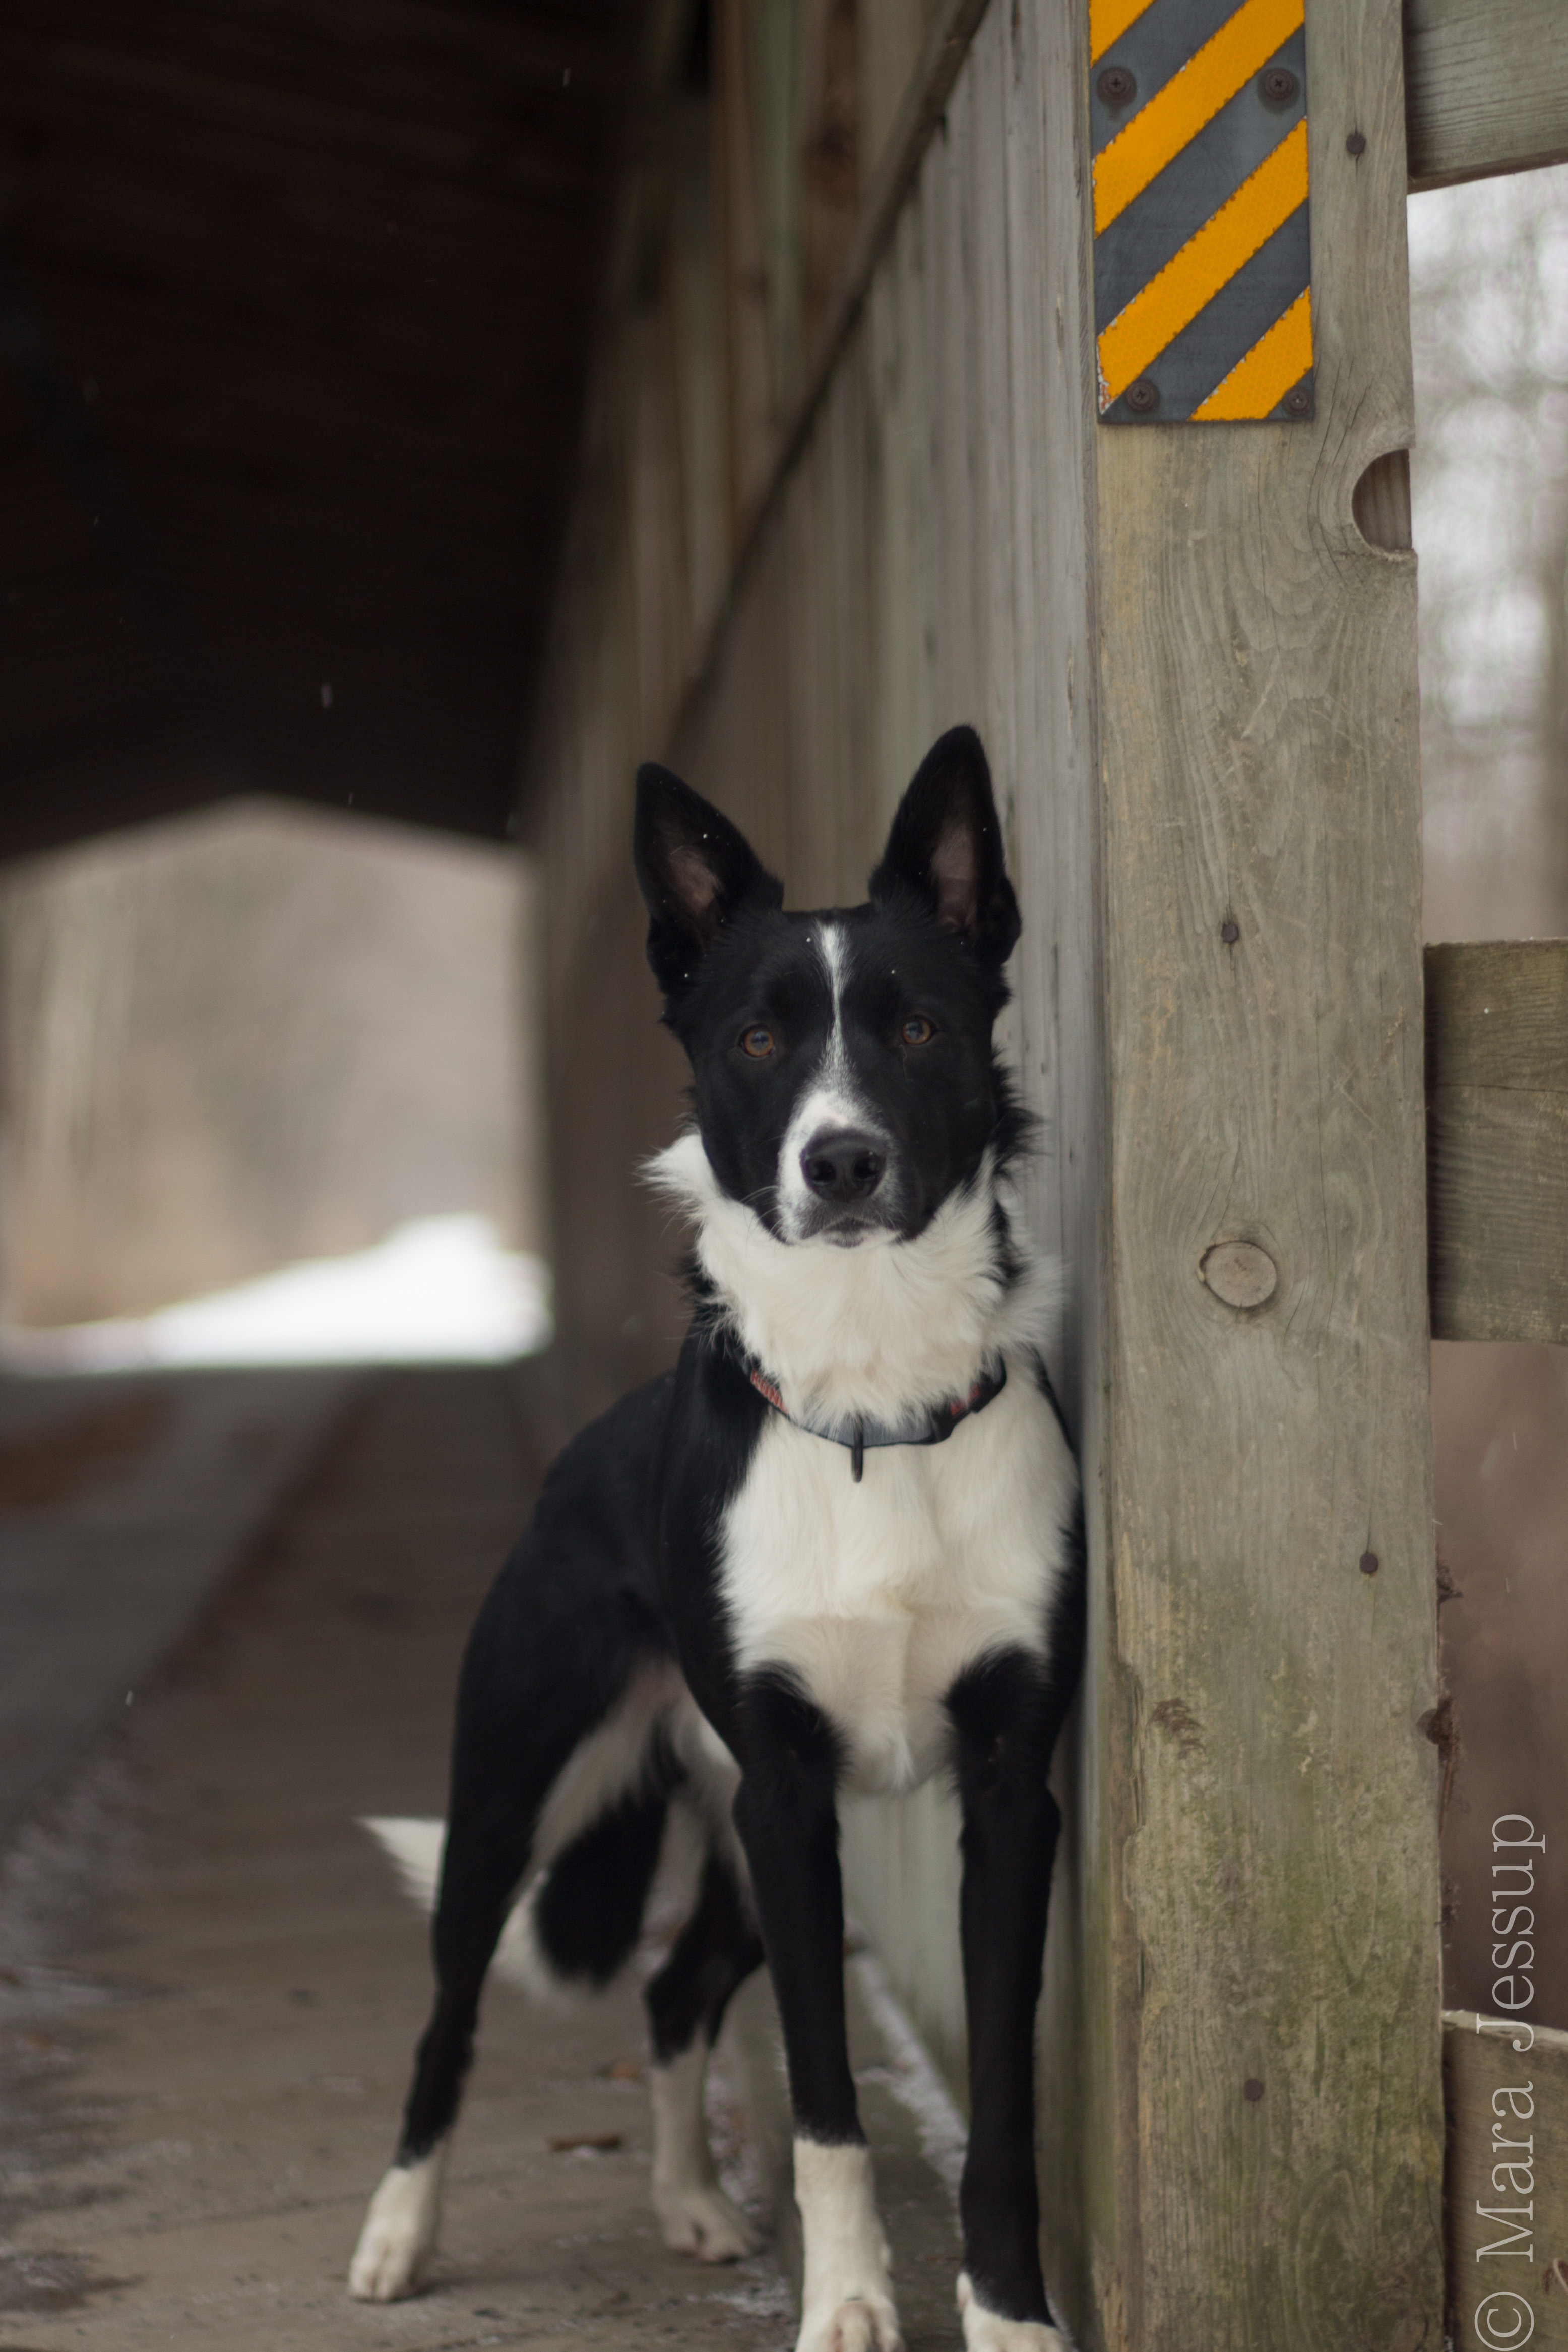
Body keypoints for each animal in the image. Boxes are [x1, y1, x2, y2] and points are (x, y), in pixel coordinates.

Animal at [348, 725, 1084, 2352]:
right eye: (754, 1042)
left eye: (918, 1026)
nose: (841, 1161)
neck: (872, 1405)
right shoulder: (788, 1798)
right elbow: (823, 2107)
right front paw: (849, 2310)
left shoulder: (1002, 1795)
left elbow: (1005, 2109)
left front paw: (1008, 2317)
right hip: (519, 1790)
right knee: (447, 2018)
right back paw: (395, 2235)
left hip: (730, 1828)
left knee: (673, 1990)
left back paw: (688, 2201)